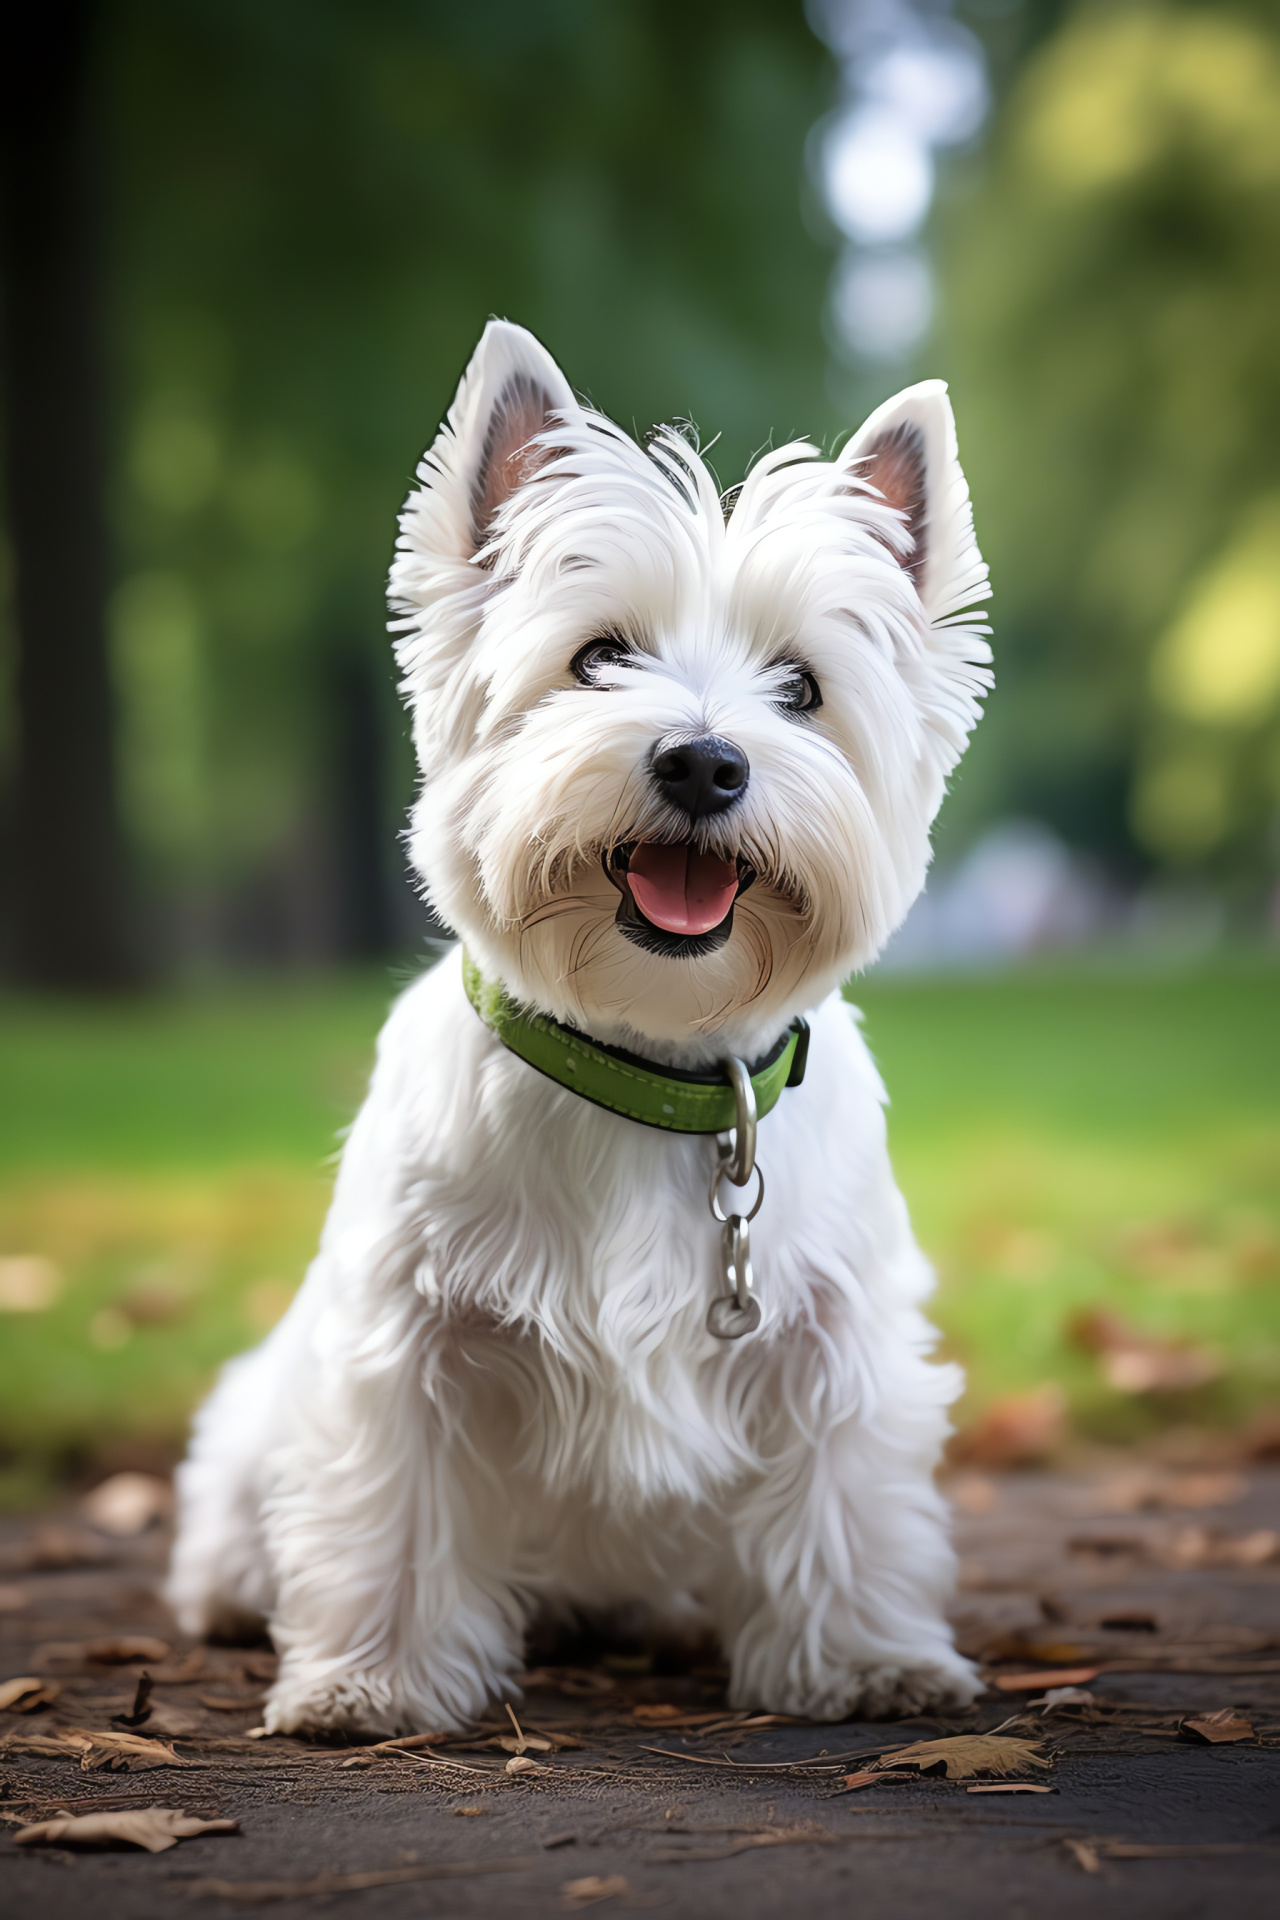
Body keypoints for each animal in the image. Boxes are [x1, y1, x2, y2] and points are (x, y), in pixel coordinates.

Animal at [167, 322, 990, 1735]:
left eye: (800, 688)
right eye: (597, 657)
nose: (703, 762)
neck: (648, 1069)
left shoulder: (831, 1340)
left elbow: (840, 1508)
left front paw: (860, 1662)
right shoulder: (411, 1341)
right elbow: (394, 1515)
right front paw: (373, 1680)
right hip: (252, 1416)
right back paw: (232, 1597)